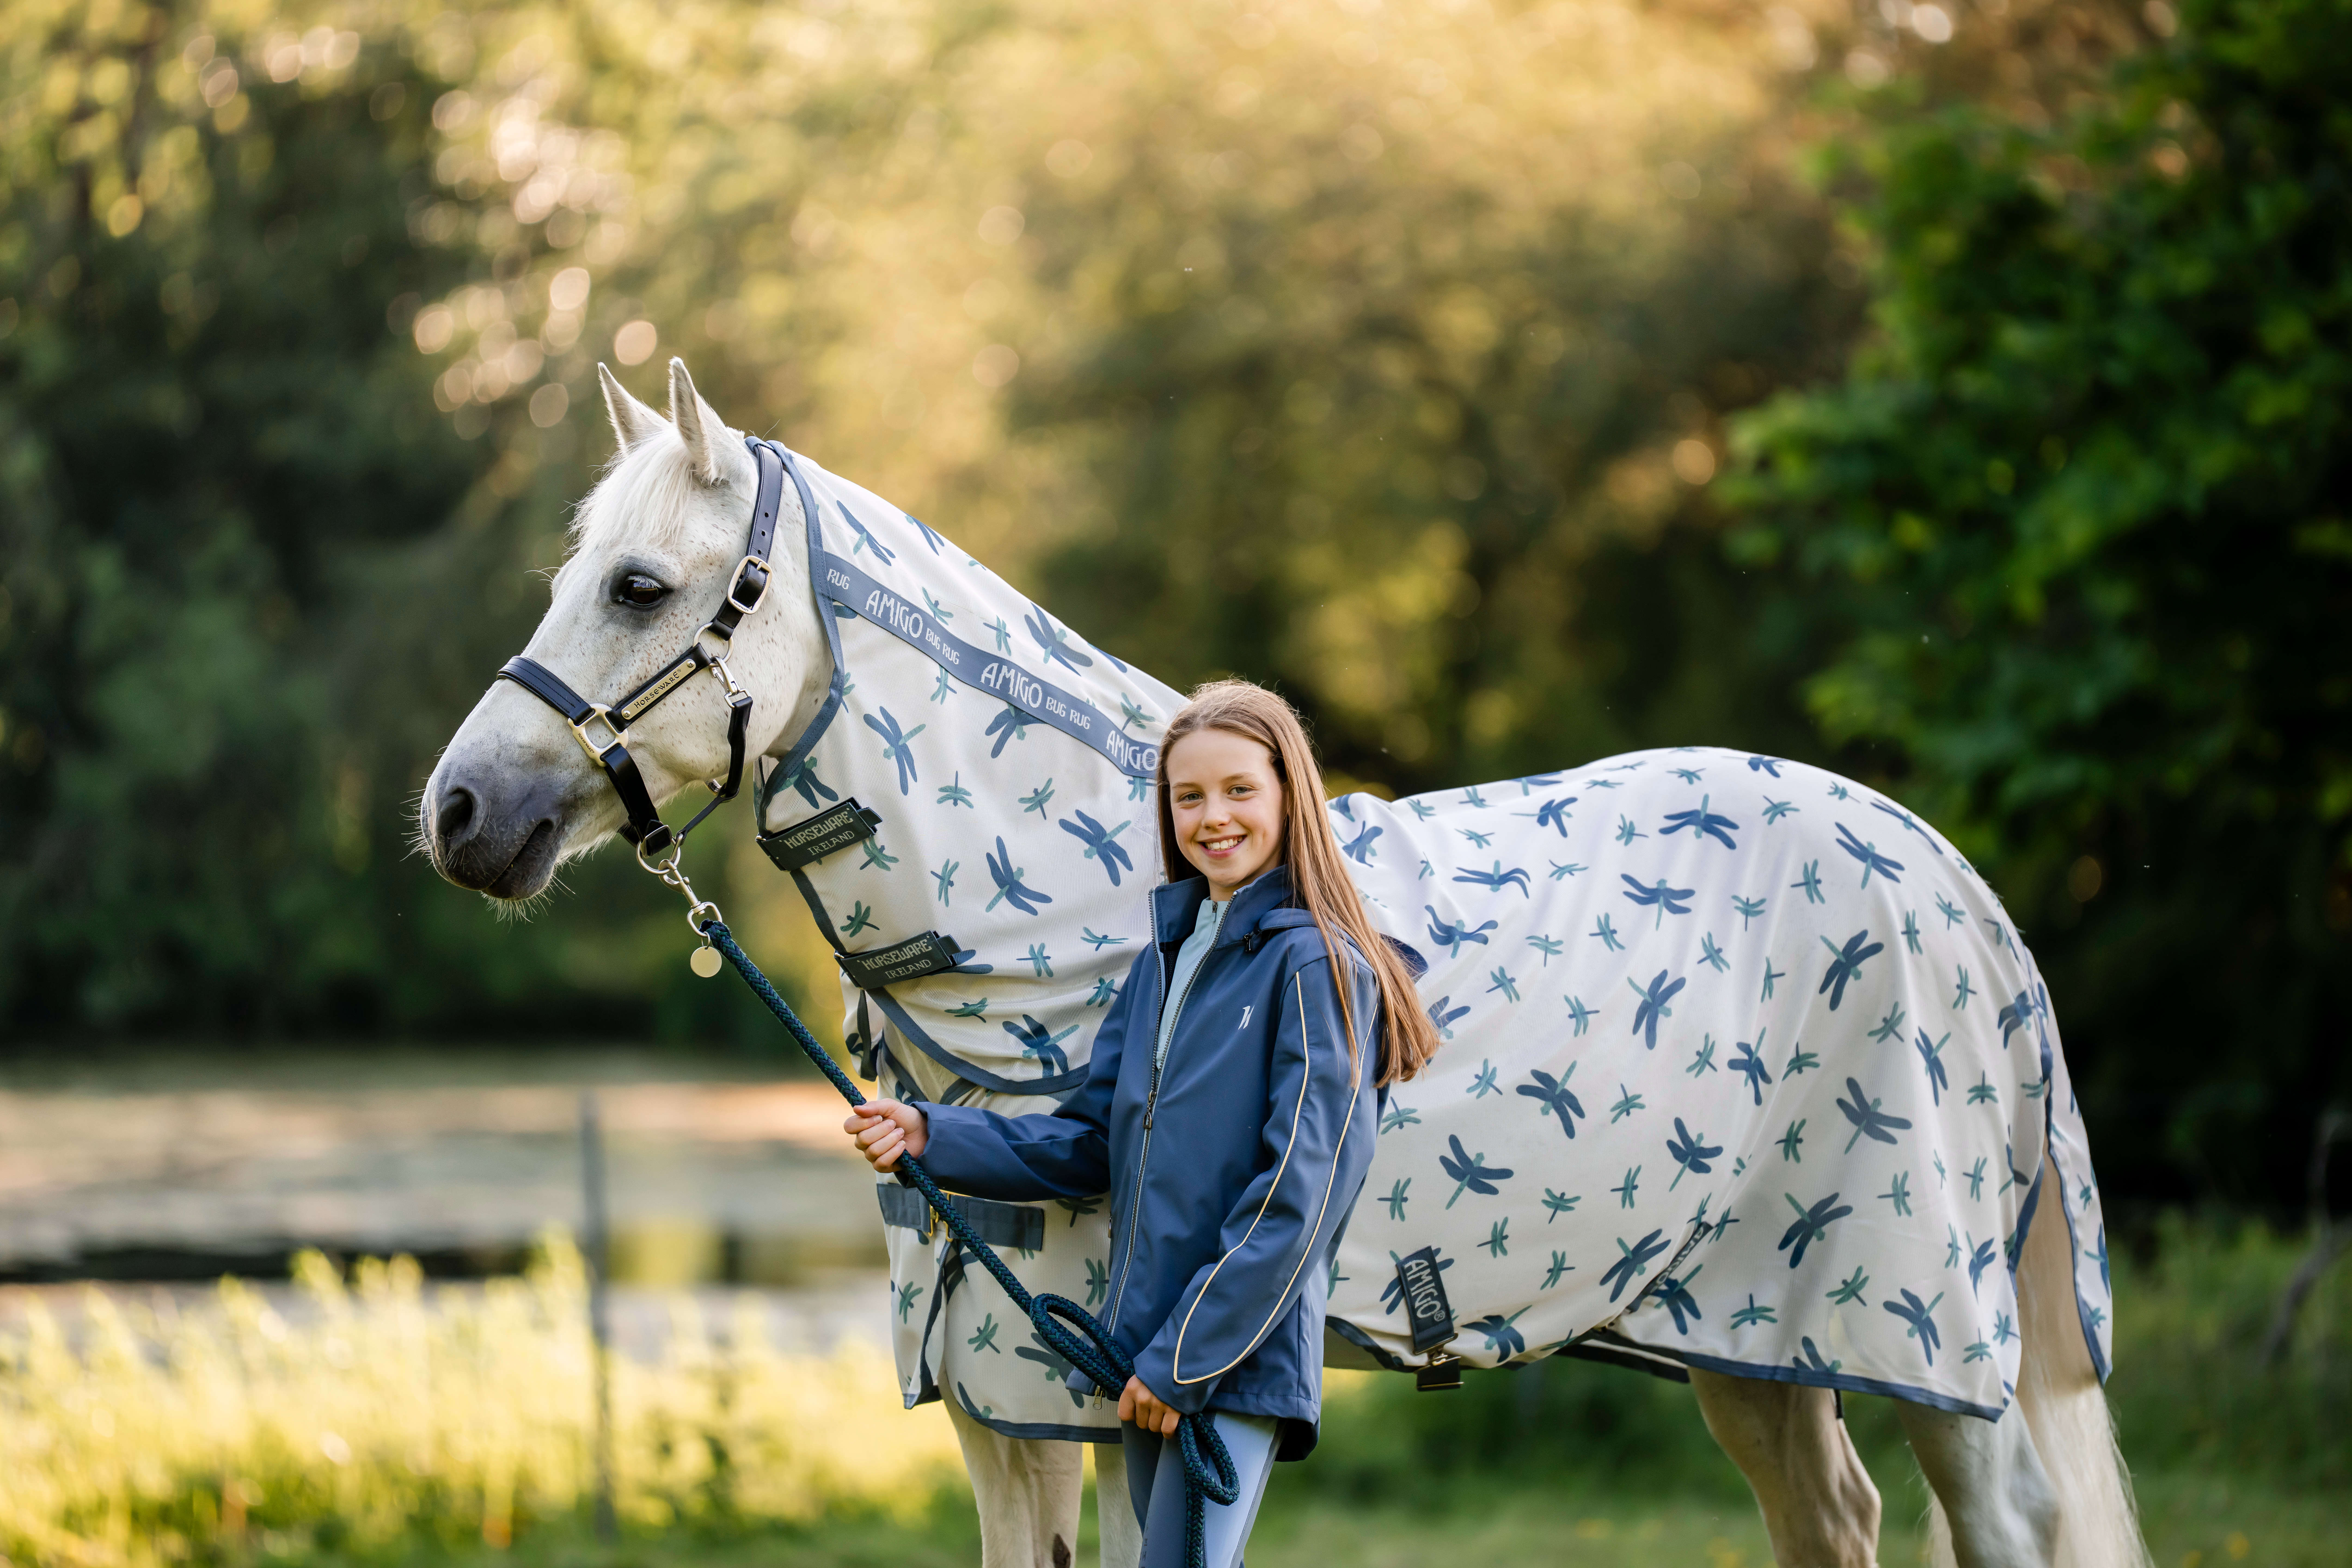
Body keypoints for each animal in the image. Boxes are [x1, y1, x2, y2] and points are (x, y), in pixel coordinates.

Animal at [422, 358, 2151, 1568]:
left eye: (640, 586)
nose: (459, 813)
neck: (1083, 917)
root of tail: (1944, 875)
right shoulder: (999, 1402)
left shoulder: (1121, 1392)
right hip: (1754, 1331)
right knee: (1832, 1517)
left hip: (1929, 1336)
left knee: (2002, 1523)